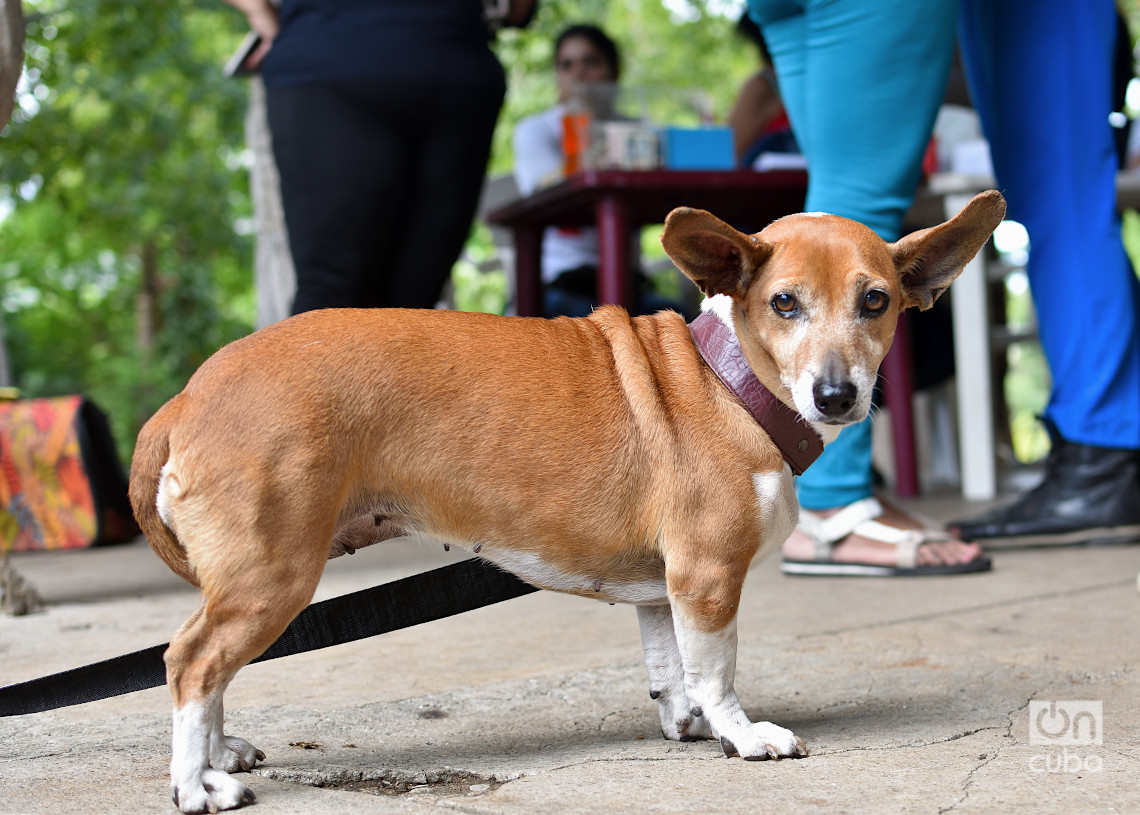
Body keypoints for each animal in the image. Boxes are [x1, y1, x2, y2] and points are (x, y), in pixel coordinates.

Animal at [129, 189, 1007, 811]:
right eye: (784, 302)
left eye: (876, 301)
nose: (836, 395)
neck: (730, 383)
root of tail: (186, 397)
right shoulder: (707, 580)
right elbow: (717, 669)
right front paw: (739, 731)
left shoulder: (662, 592)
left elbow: (671, 667)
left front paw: (687, 721)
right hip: (270, 576)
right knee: (191, 662)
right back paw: (195, 782)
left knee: (210, 672)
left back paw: (219, 751)